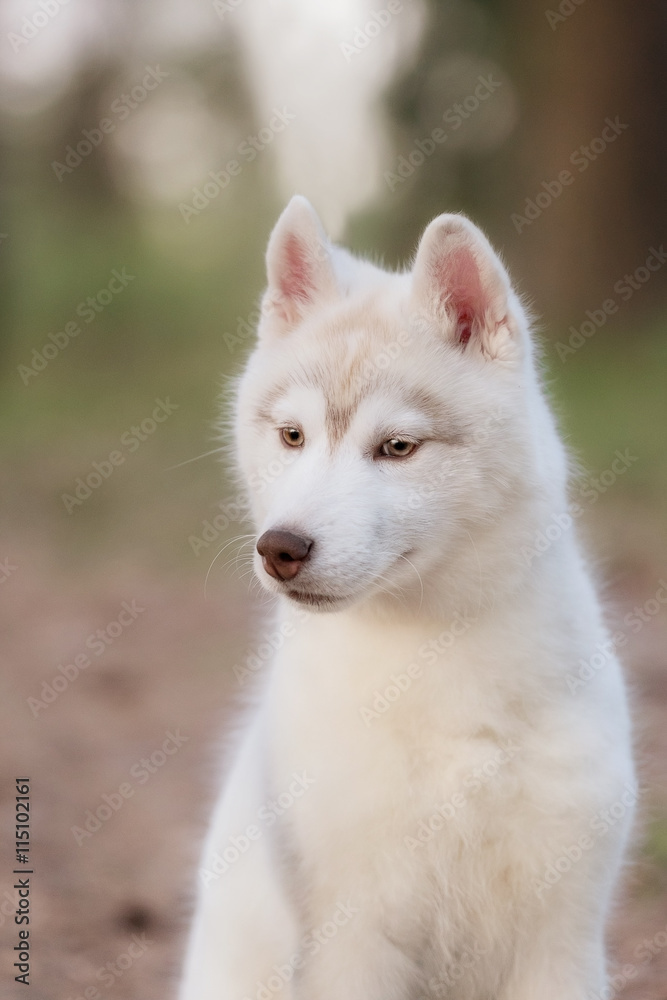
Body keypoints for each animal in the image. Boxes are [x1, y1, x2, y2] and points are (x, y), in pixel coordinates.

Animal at [180, 197, 640, 1000]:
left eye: (397, 447)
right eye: (293, 436)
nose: (280, 548)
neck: (431, 656)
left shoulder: (559, 935)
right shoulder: (348, 934)